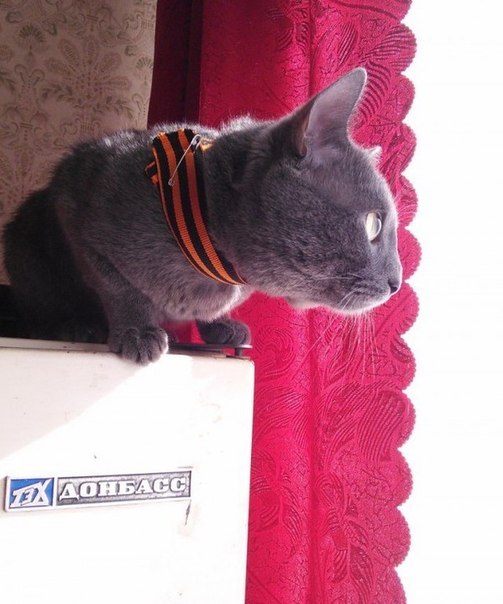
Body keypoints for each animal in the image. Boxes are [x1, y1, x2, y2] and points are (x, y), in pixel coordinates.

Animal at [2, 68, 402, 364]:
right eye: (373, 224)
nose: (397, 283)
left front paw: (219, 325)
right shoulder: (80, 209)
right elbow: (118, 287)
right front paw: (137, 330)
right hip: (24, 243)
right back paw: (75, 326)